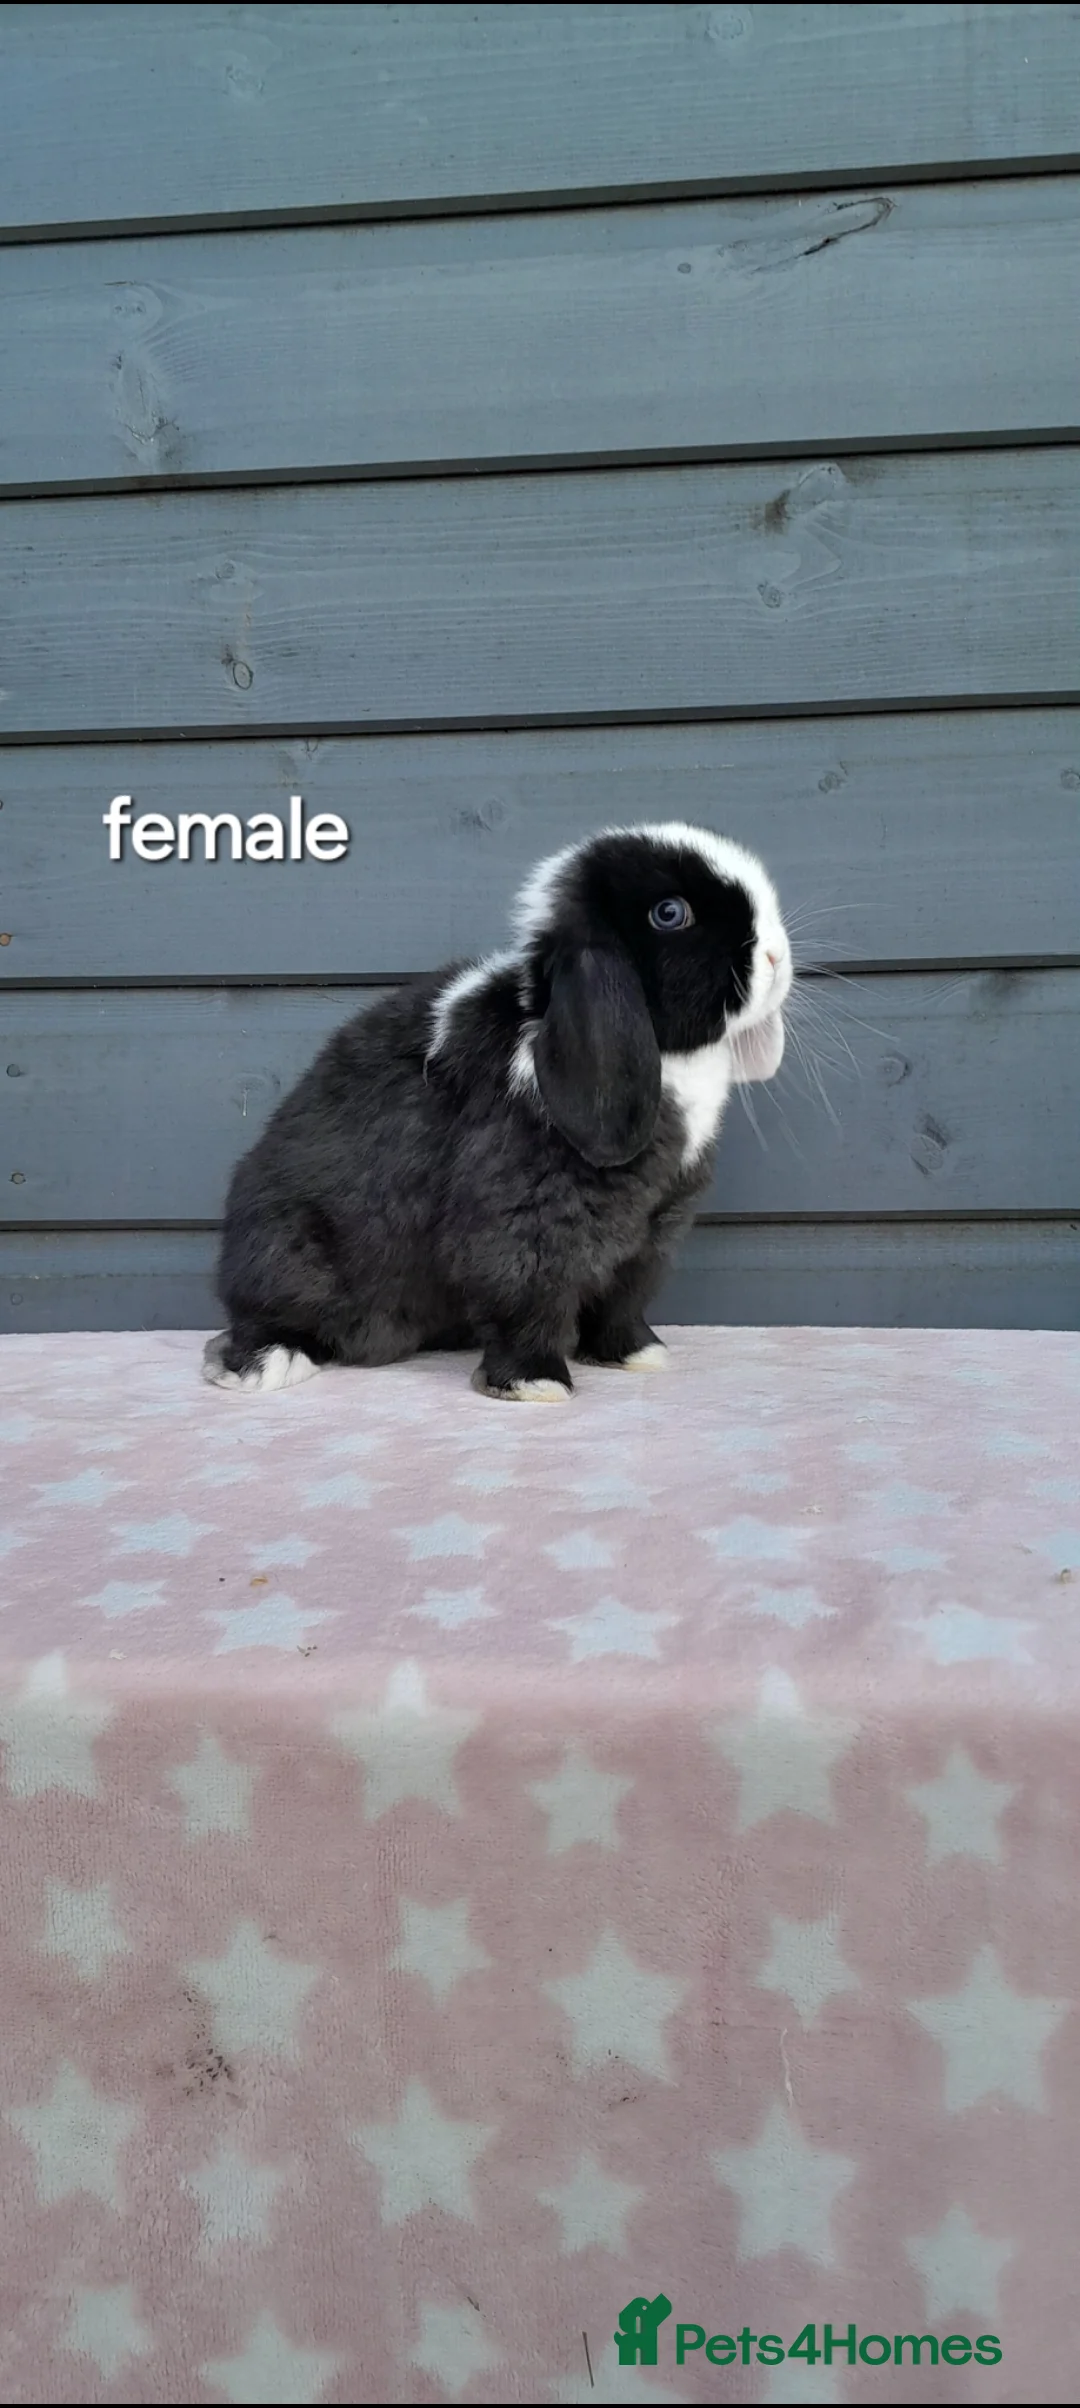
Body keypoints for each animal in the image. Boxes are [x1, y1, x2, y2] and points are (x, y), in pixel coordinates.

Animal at [202, 821, 792, 1403]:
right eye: (670, 913)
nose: (776, 958)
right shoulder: (528, 1225)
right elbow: (528, 1301)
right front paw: (535, 1382)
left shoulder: (651, 1233)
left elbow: (623, 1302)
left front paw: (637, 1354)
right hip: (284, 1254)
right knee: (258, 1321)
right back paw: (269, 1363)